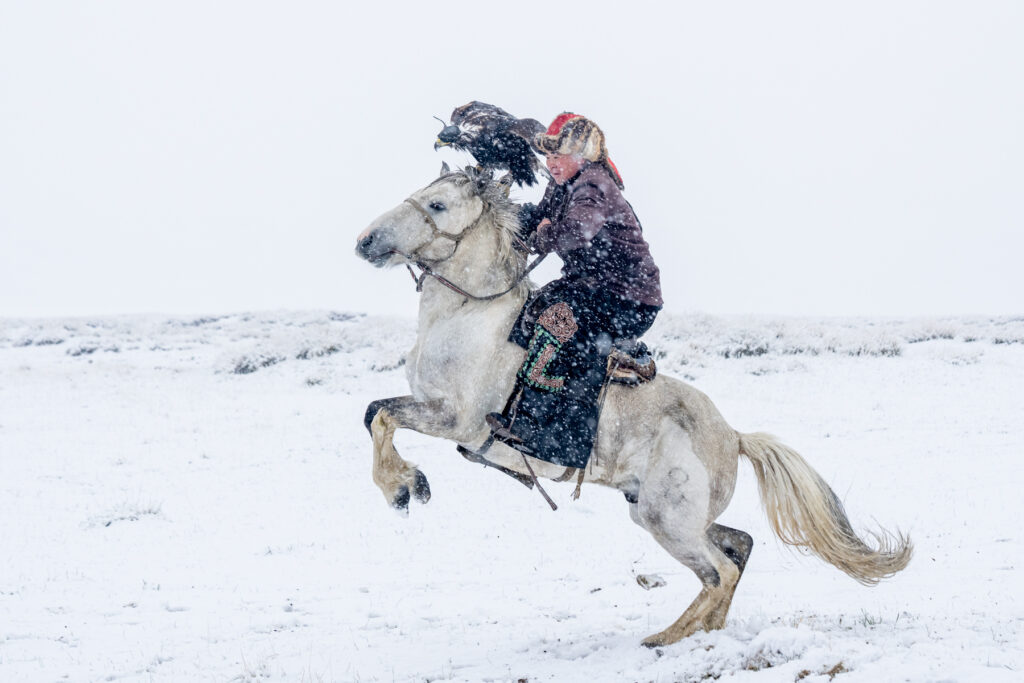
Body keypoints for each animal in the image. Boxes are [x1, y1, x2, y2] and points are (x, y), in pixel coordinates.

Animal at [354, 163, 913, 647]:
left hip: (668, 520)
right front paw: (411, 484)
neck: (472, 316)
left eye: (438, 204)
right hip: (655, 513)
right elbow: (374, 412)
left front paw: (403, 489)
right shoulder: (431, 408)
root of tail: (733, 436)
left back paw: (665, 639)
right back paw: (704, 632)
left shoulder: (455, 419)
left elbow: (383, 417)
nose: (365, 242)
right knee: (739, 547)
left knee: (719, 570)